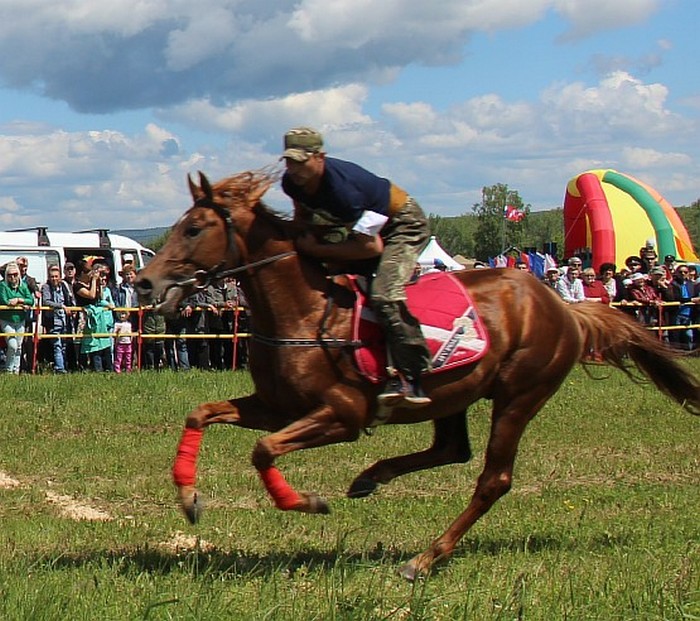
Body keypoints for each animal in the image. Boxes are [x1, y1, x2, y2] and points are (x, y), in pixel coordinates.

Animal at [135, 168, 700, 576]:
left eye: (195, 228)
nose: (144, 283)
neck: (303, 311)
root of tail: (563, 307)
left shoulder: (342, 415)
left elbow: (263, 450)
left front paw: (305, 502)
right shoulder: (276, 406)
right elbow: (200, 414)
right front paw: (188, 497)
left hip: (520, 394)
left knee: (492, 478)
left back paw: (424, 557)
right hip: (455, 392)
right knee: (452, 449)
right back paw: (372, 477)